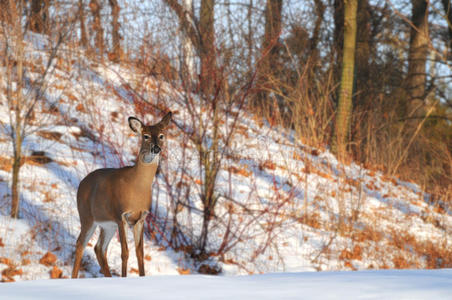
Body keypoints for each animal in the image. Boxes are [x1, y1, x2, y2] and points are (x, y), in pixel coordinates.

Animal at [71, 111, 172, 278]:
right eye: (145, 136)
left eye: (162, 135)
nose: (156, 148)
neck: (137, 187)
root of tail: (82, 183)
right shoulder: (121, 215)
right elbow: (125, 253)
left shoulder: (141, 218)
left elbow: (140, 253)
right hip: (86, 216)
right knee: (81, 243)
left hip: (107, 224)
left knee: (99, 248)